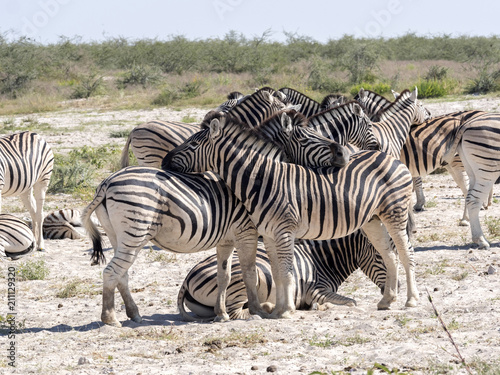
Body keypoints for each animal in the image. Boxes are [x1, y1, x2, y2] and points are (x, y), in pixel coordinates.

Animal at [83, 110, 348, 328]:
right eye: (307, 138)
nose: (344, 154)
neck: (257, 180)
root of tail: (106, 183)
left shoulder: (227, 238)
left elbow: (226, 276)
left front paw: (221, 314)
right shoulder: (247, 232)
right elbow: (250, 271)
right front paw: (257, 310)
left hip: (120, 236)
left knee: (122, 273)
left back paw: (134, 314)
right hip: (135, 233)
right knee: (112, 271)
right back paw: (110, 318)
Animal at [165, 112, 418, 320]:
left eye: (193, 144)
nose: (165, 161)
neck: (262, 179)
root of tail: (393, 158)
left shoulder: (284, 231)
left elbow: (287, 273)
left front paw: (286, 310)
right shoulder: (269, 234)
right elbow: (277, 273)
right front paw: (278, 308)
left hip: (395, 212)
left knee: (406, 252)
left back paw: (411, 300)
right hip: (373, 220)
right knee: (389, 254)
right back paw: (387, 300)